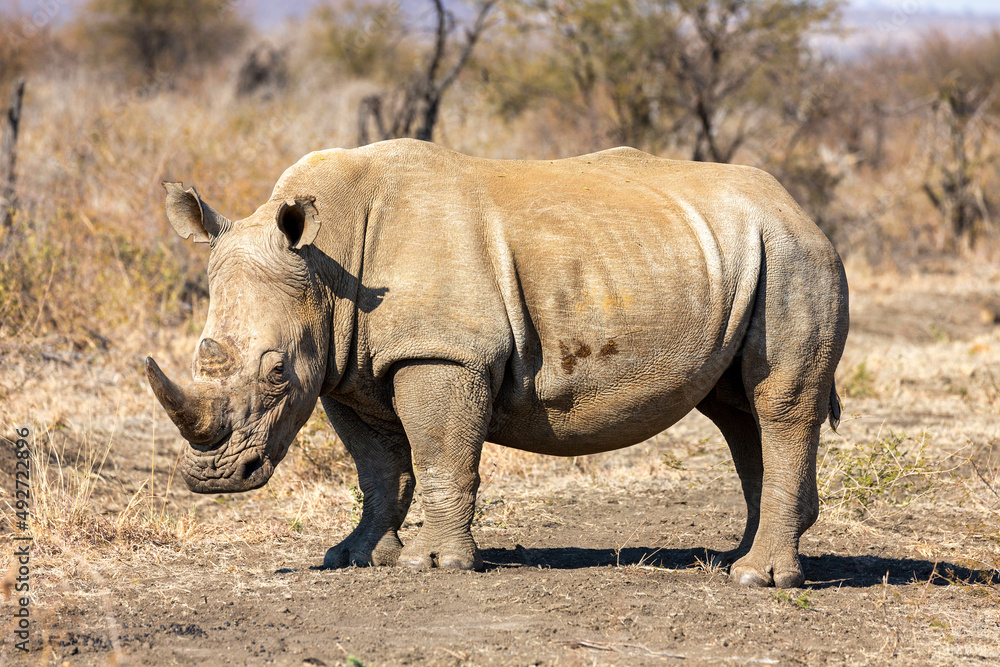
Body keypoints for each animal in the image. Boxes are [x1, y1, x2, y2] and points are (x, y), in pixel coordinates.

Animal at [147, 139, 848, 588]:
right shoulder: (349, 369)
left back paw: (757, 578)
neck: (328, 259)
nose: (214, 479)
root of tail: (799, 208)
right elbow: (378, 468)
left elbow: (438, 454)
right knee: (735, 408)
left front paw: (432, 567)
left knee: (777, 401)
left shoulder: (442, 352)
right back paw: (742, 556)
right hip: (744, 254)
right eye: (201, 353)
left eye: (275, 374)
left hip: (796, 256)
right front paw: (352, 558)